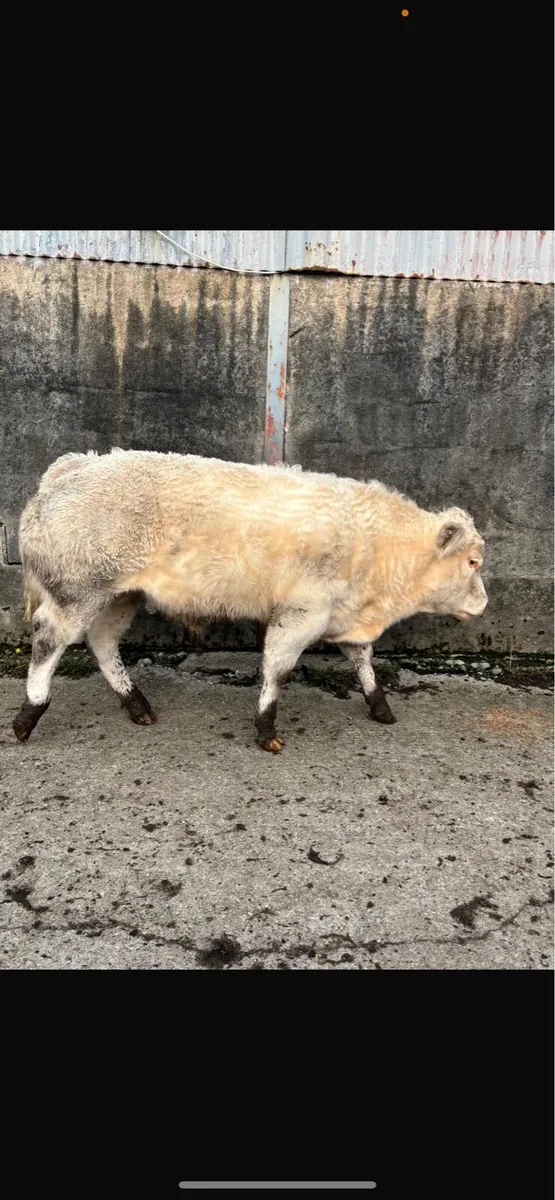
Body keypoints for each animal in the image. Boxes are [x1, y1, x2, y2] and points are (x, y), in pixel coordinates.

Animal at [12, 449, 488, 749]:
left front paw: (380, 706)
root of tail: (77, 464)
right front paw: (265, 729)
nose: (484, 604)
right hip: (78, 590)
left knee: (103, 642)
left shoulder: (341, 614)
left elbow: (363, 659)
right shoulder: (300, 614)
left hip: (119, 594)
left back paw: (136, 704)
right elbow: (277, 670)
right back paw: (29, 714)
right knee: (49, 640)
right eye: (473, 562)